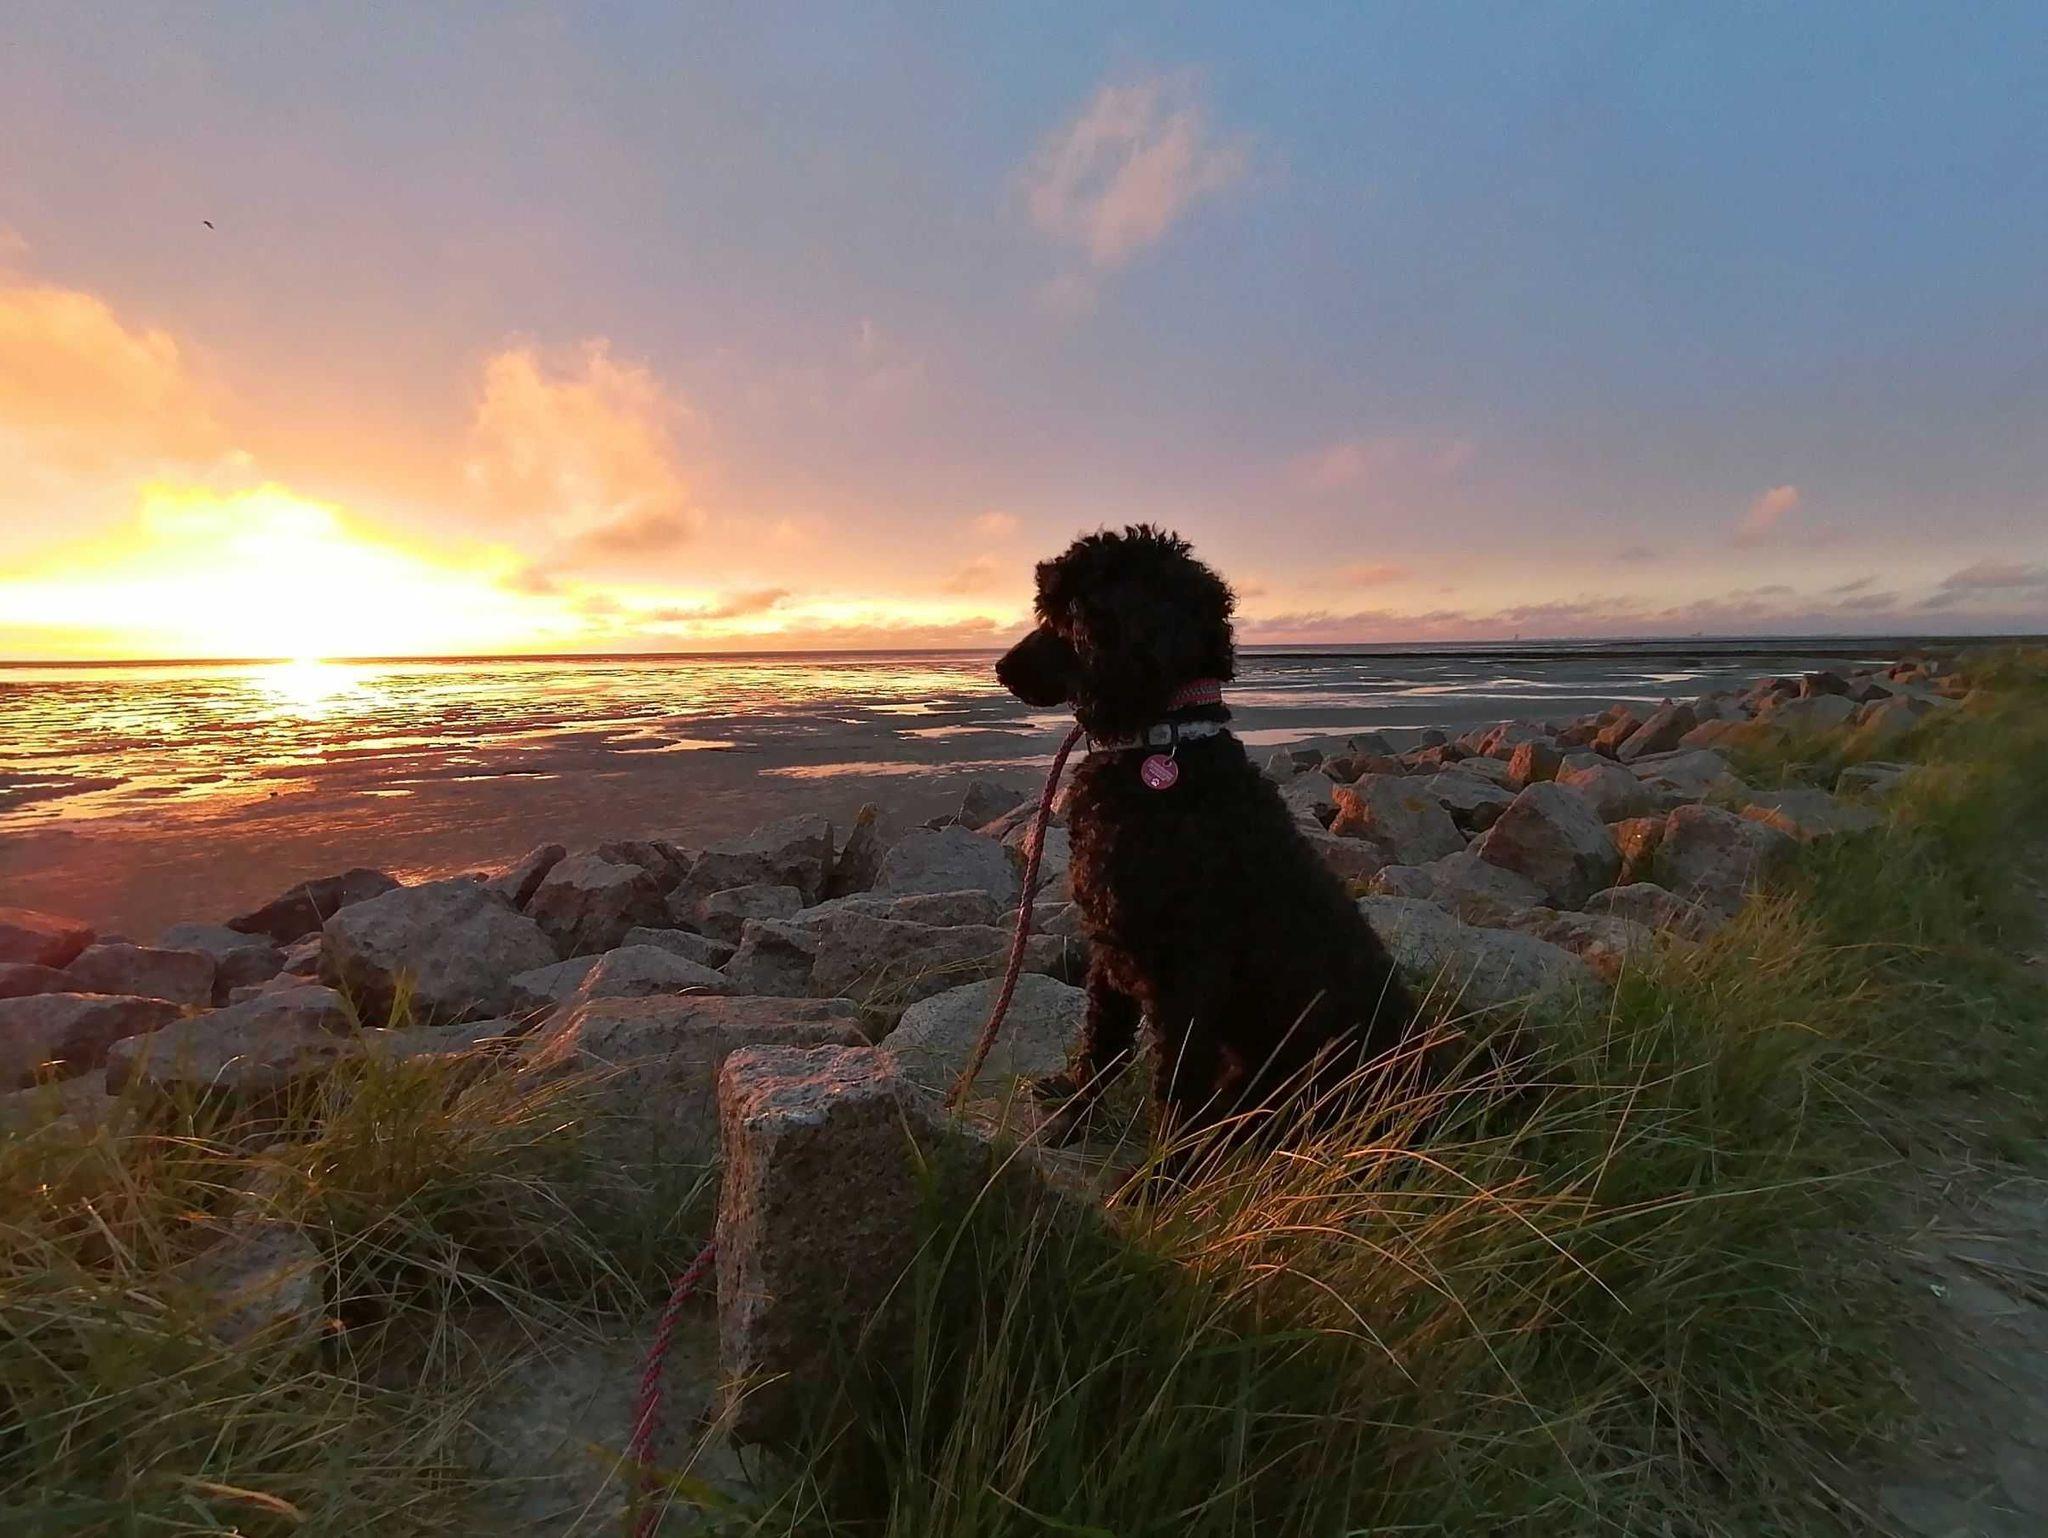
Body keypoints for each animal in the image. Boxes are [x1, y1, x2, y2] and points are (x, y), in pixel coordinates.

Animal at [996, 525, 1420, 1157]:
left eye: (1068, 614)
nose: (999, 667)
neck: (1164, 741)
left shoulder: (1184, 976)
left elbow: (1173, 1086)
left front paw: (1160, 1175)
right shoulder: (1110, 946)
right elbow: (1101, 1043)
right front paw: (1075, 1112)